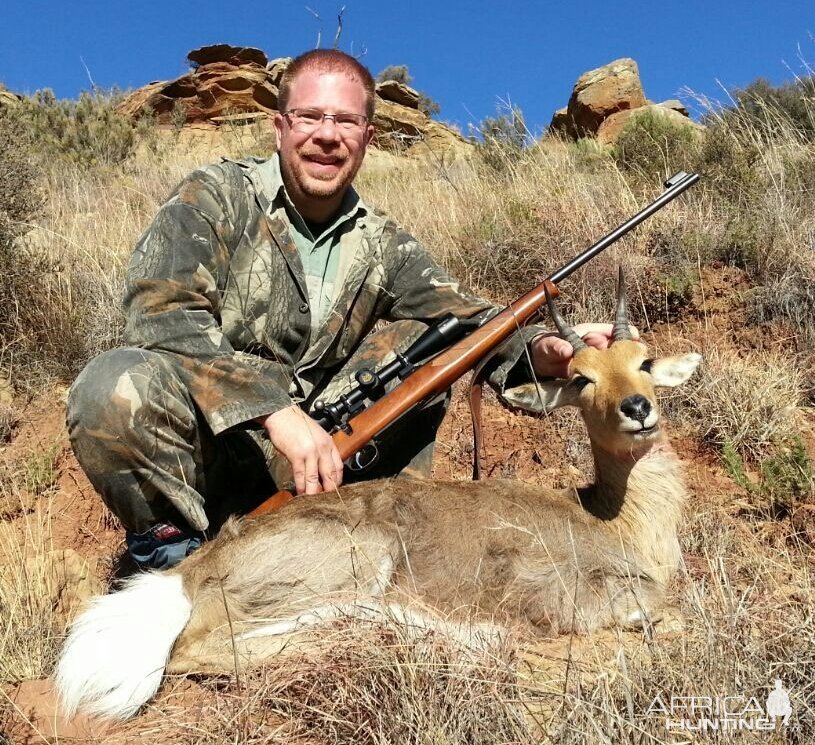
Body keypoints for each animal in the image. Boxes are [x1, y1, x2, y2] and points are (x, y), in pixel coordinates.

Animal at [54, 270, 700, 716]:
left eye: (644, 361)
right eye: (581, 378)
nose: (637, 409)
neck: (616, 518)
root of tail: (192, 570)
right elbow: (666, 613)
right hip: (362, 557)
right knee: (201, 648)